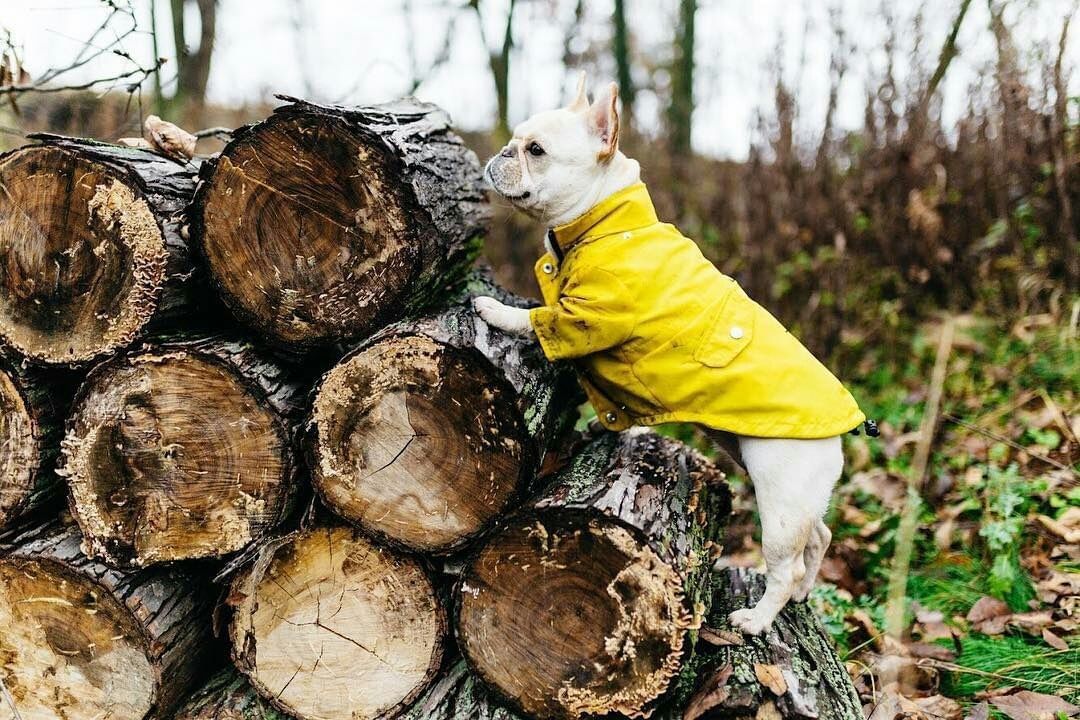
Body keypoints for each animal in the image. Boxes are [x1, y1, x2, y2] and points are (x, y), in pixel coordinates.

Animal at [473, 74, 868, 634]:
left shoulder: (589, 318)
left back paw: (757, 619)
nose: (503, 152)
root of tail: (841, 435)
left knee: (786, 563)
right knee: (821, 538)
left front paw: (494, 309)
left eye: (536, 151)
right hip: (793, 494)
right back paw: (801, 594)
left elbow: (540, 321)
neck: (604, 219)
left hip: (780, 499)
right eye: (516, 141)